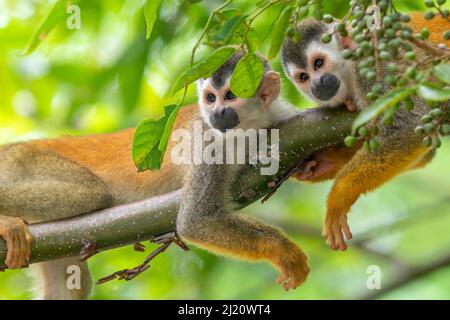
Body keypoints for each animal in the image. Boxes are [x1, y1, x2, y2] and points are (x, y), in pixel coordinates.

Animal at [282, 13, 446, 251]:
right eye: (304, 76)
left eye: (318, 63)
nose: (316, 84)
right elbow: (425, 152)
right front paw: (324, 163)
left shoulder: (374, 70)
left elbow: (408, 129)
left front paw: (338, 196)